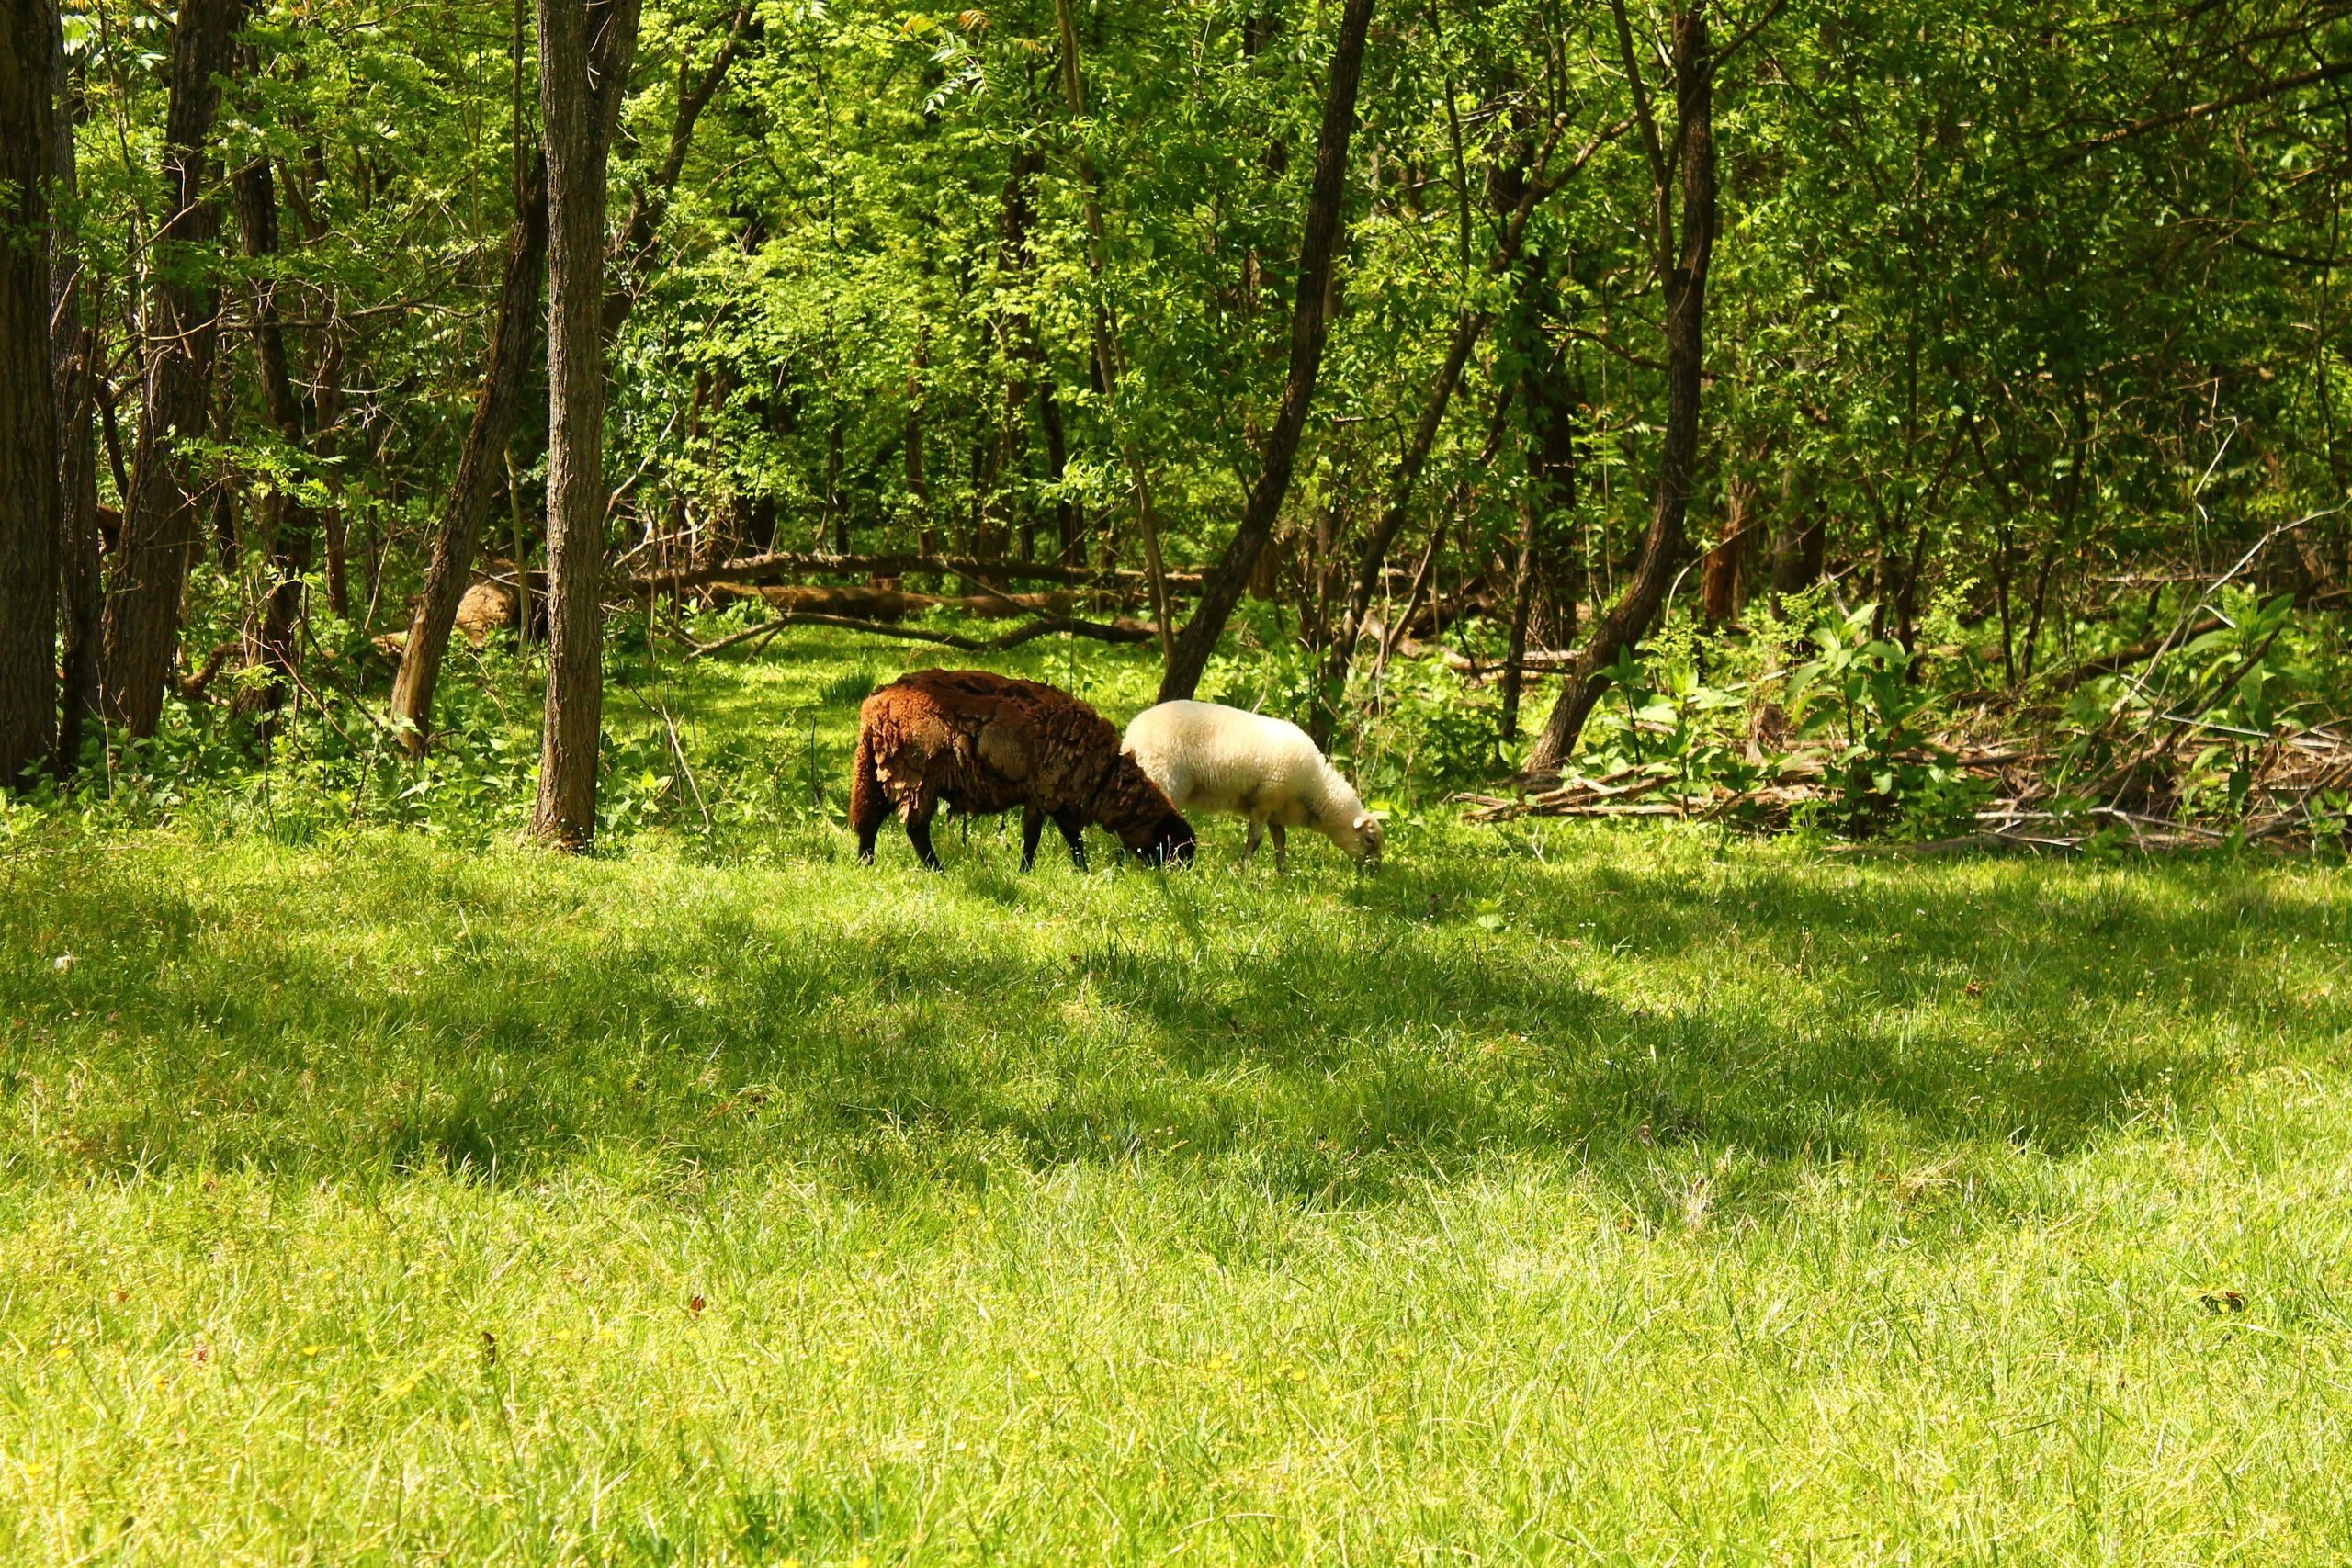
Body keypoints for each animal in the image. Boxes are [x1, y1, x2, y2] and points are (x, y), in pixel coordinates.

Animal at [851, 668, 1196, 872]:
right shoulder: (1043, 791)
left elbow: (1073, 838)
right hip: (916, 772)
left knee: (870, 816)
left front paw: (1081, 870)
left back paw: (866, 863)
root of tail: (875, 705)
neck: (1104, 777)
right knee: (915, 827)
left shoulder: (1060, 797)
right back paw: (936, 869)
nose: (1183, 877)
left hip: (883, 766)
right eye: (1173, 848)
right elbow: (1035, 836)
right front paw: (1026, 871)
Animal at [1120, 700, 1383, 871]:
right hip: (1163, 778)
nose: (1375, 871)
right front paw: (1244, 869)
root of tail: (1131, 736)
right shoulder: (1265, 800)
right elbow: (1255, 839)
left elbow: (1280, 842)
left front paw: (1283, 872)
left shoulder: (1276, 810)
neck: (1315, 787)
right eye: (1369, 840)